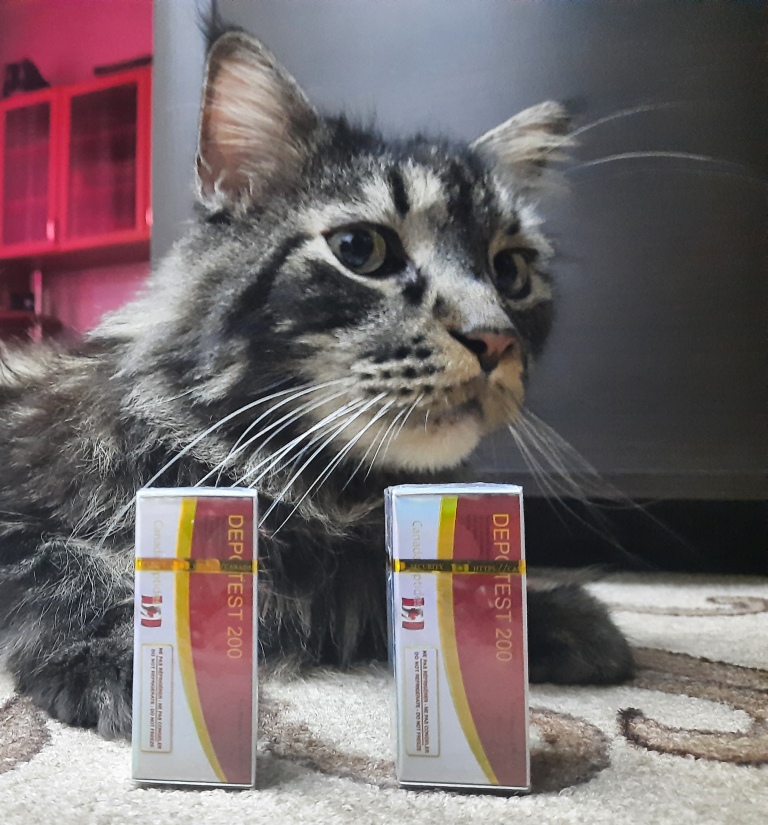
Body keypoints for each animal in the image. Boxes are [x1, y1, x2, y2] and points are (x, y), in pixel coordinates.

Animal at [0, 29, 633, 739]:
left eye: (511, 272)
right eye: (360, 250)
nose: (494, 337)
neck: (316, 491)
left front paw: (547, 614)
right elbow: (64, 561)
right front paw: (136, 661)